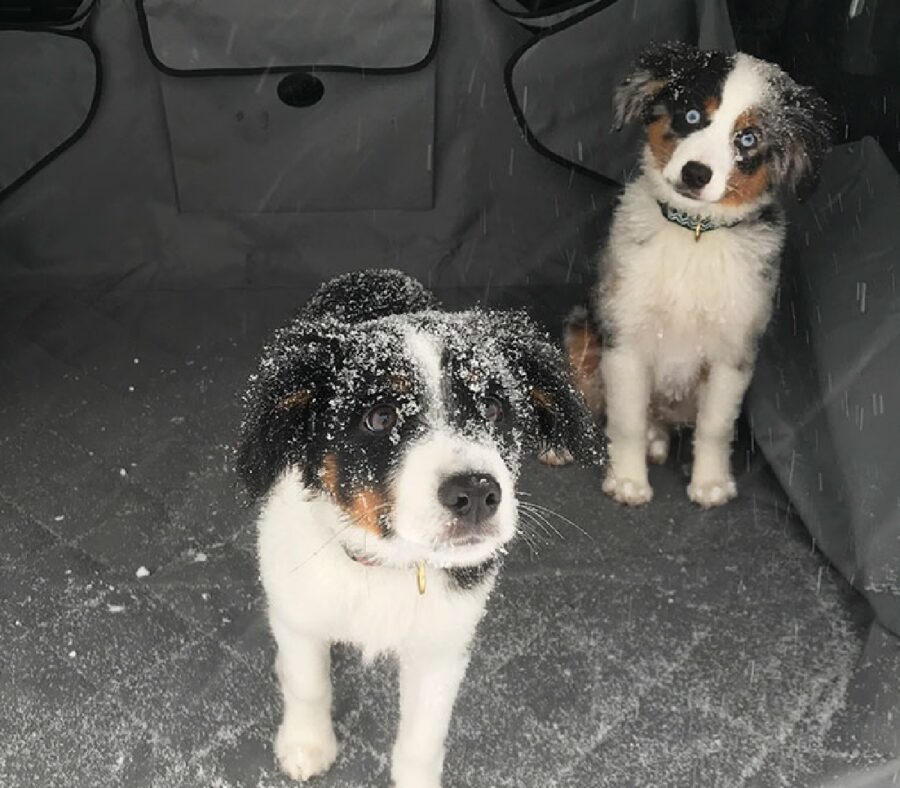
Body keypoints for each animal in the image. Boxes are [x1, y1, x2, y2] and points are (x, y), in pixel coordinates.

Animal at [236, 268, 600, 784]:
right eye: (380, 416)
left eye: (494, 408)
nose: (476, 494)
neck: (385, 563)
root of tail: (373, 273)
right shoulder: (297, 612)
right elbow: (308, 683)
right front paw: (306, 745)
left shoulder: (442, 644)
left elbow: (423, 736)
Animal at [568, 43, 832, 508]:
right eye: (691, 115)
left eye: (748, 139)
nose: (696, 174)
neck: (693, 235)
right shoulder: (625, 339)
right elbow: (625, 421)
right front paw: (628, 482)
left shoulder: (734, 353)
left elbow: (715, 427)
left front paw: (710, 484)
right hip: (583, 330)